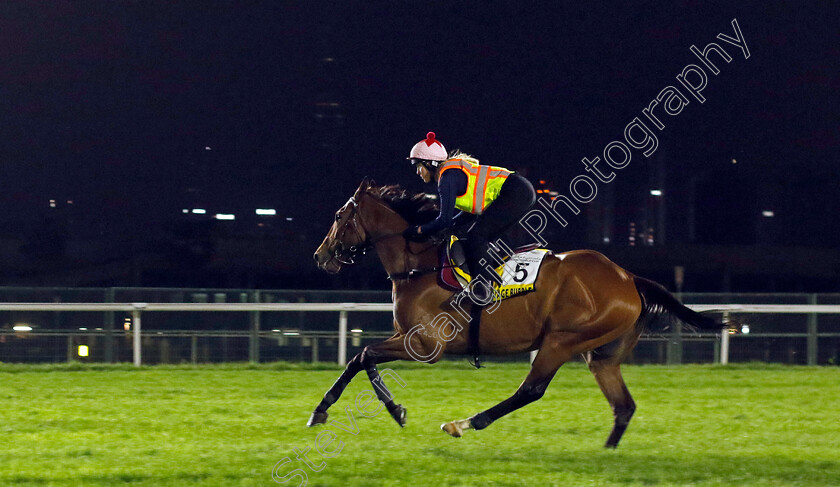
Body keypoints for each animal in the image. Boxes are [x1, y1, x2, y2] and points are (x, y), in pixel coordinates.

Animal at [312, 179, 724, 450]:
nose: (321, 255)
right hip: (601, 353)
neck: (419, 266)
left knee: (531, 389)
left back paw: (465, 423)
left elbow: (364, 356)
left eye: (338, 215)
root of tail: (628, 277)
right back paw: (607, 451)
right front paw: (329, 411)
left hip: (561, 340)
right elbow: (358, 359)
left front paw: (390, 410)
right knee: (623, 406)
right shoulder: (408, 339)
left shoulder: (426, 346)